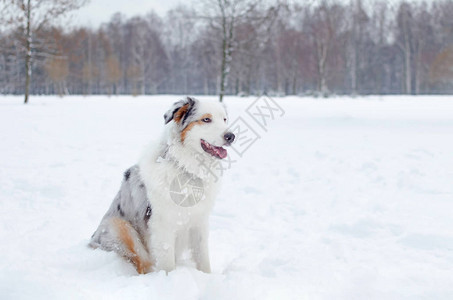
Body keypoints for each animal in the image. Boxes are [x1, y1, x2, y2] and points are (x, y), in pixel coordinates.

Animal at [89, 97, 235, 274]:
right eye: (206, 119)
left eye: (224, 119)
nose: (231, 136)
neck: (186, 168)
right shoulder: (162, 225)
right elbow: (167, 263)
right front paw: (169, 279)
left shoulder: (199, 221)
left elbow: (203, 258)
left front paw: (206, 277)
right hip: (120, 227)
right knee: (142, 262)